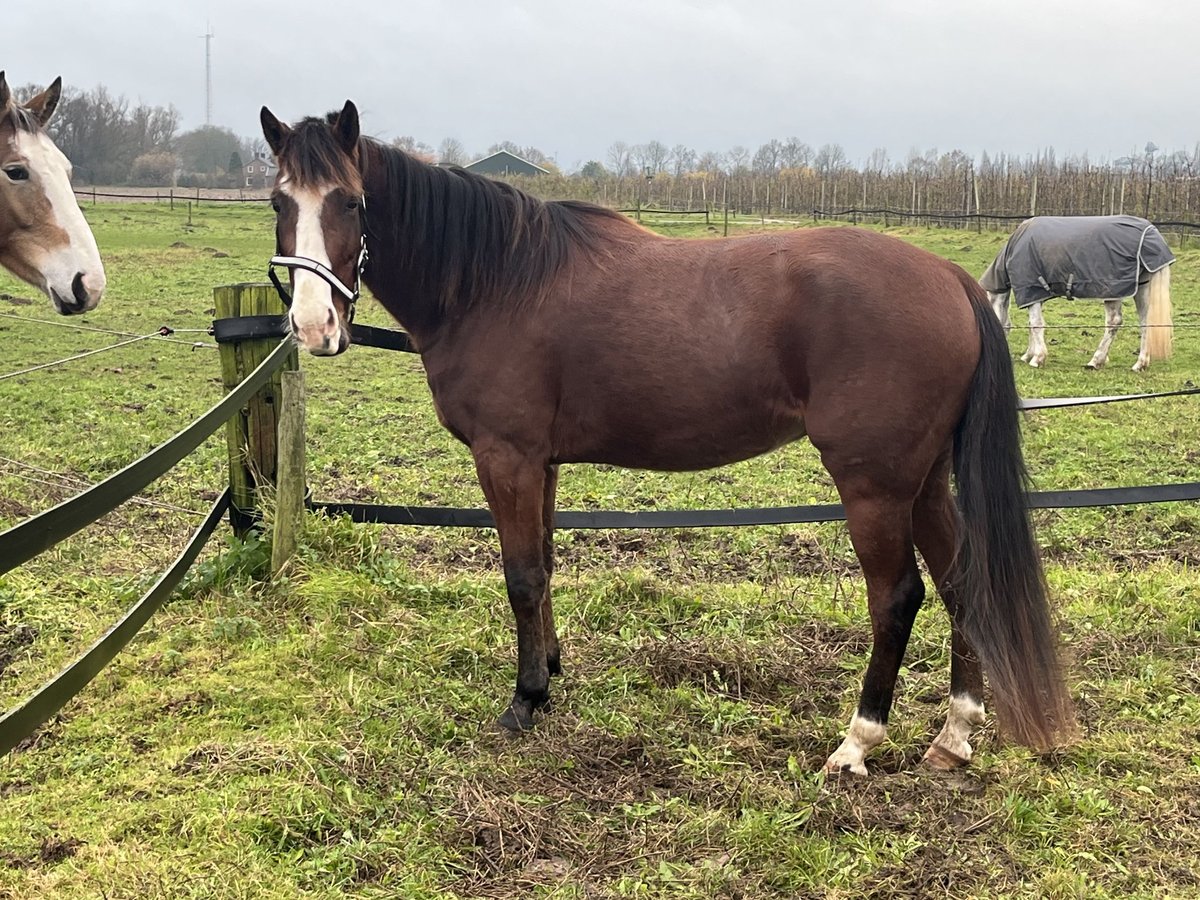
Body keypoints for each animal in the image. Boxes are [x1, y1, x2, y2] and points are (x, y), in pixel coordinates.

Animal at [262, 98, 1080, 777]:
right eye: (278, 201)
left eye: (352, 202)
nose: (312, 325)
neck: (496, 281)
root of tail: (949, 278)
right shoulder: (543, 463)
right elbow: (545, 567)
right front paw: (550, 673)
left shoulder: (507, 457)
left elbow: (520, 575)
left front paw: (524, 701)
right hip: (926, 479)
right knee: (960, 580)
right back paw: (954, 736)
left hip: (874, 484)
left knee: (898, 596)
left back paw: (857, 743)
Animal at [984, 214, 1171, 369]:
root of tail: (1151, 233)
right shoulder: (1036, 295)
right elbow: (1032, 324)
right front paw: (1028, 355)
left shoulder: (1032, 291)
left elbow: (1036, 324)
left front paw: (1037, 358)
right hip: (1142, 288)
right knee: (1146, 322)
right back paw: (1140, 363)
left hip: (1112, 291)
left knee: (1114, 322)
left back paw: (1096, 361)